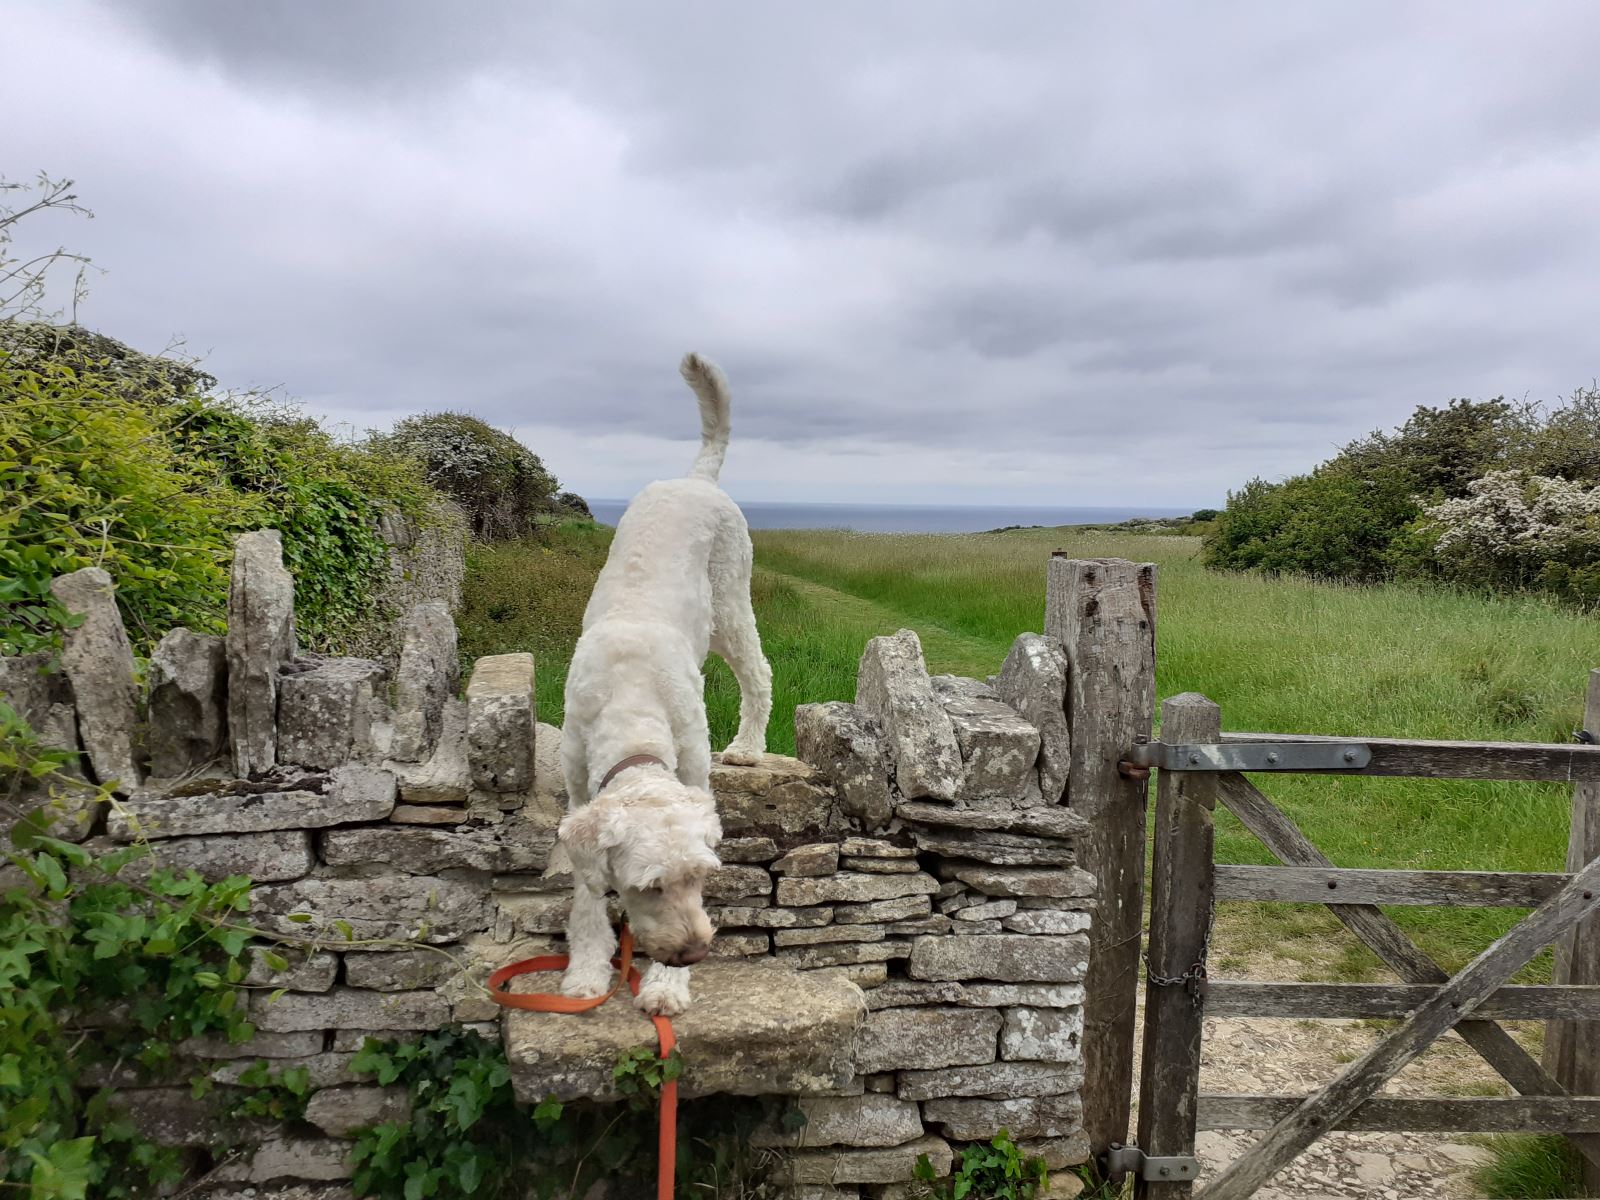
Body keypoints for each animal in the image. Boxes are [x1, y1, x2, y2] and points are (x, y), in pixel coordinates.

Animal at [553, 352, 771, 1017]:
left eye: (703, 876)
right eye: (649, 885)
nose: (695, 954)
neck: (631, 699)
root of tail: (694, 479)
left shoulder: (693, 767)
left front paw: (666, 987)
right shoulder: (578, 787)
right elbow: (587, 893)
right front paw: (587, 970)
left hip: (730, 603)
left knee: (758, 674)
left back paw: (748, 746)